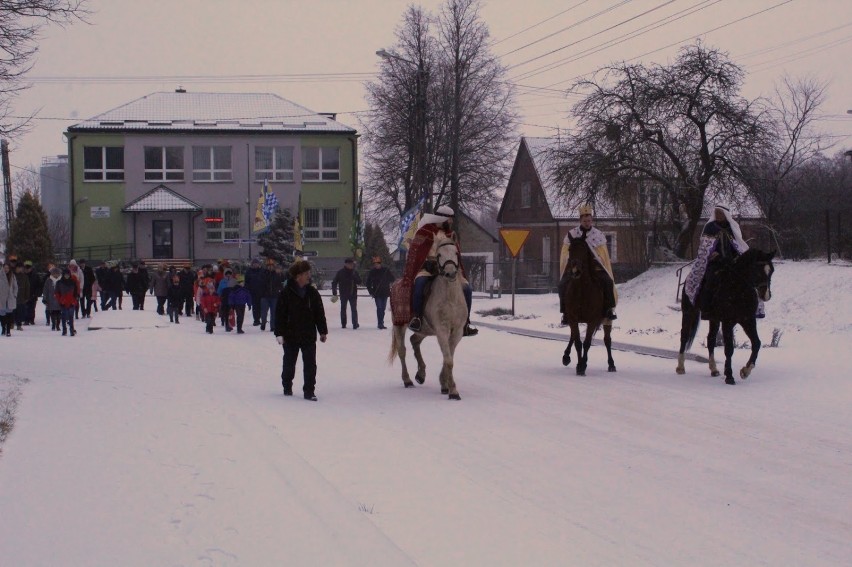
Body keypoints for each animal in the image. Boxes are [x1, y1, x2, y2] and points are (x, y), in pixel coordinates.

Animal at [390, 234, 470, 400]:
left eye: (456, 252)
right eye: (439, 255)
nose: (451, 273)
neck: (450, 298)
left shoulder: (457, 332)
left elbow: (449, 358)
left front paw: (444, 384)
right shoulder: (441, 330)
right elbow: (448, 360)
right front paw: (453, 391)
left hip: (425, 330)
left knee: (414, 340)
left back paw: (420, 375)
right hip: (399, 325)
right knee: (402, 350)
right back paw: (408, 380)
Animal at [560, 233, 612, 374]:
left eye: (584, 250)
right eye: (570, 249)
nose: (575, 271)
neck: (582, 291)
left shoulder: (592, 320)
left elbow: (587, 343)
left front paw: (582, 366)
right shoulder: (573, 318)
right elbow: (578, 342)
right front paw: (579, 365)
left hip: (607, 319)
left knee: (607, 340)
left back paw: (611, 364)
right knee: (573, 336)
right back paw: (566, 357)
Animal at [676, 250, 776, 386]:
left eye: (771, 270)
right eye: (757, 269)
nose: (766, 295)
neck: (739, 290)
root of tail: (686, 280)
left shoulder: (748, 320)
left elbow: (756, 343)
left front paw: (745, 371)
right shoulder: (727, 322)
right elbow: (729, 348)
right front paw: (729, 376)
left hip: (714, 320)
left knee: (711, 339)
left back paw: (713, 369)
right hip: (688, 312)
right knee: (684, 336)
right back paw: (680, 367)